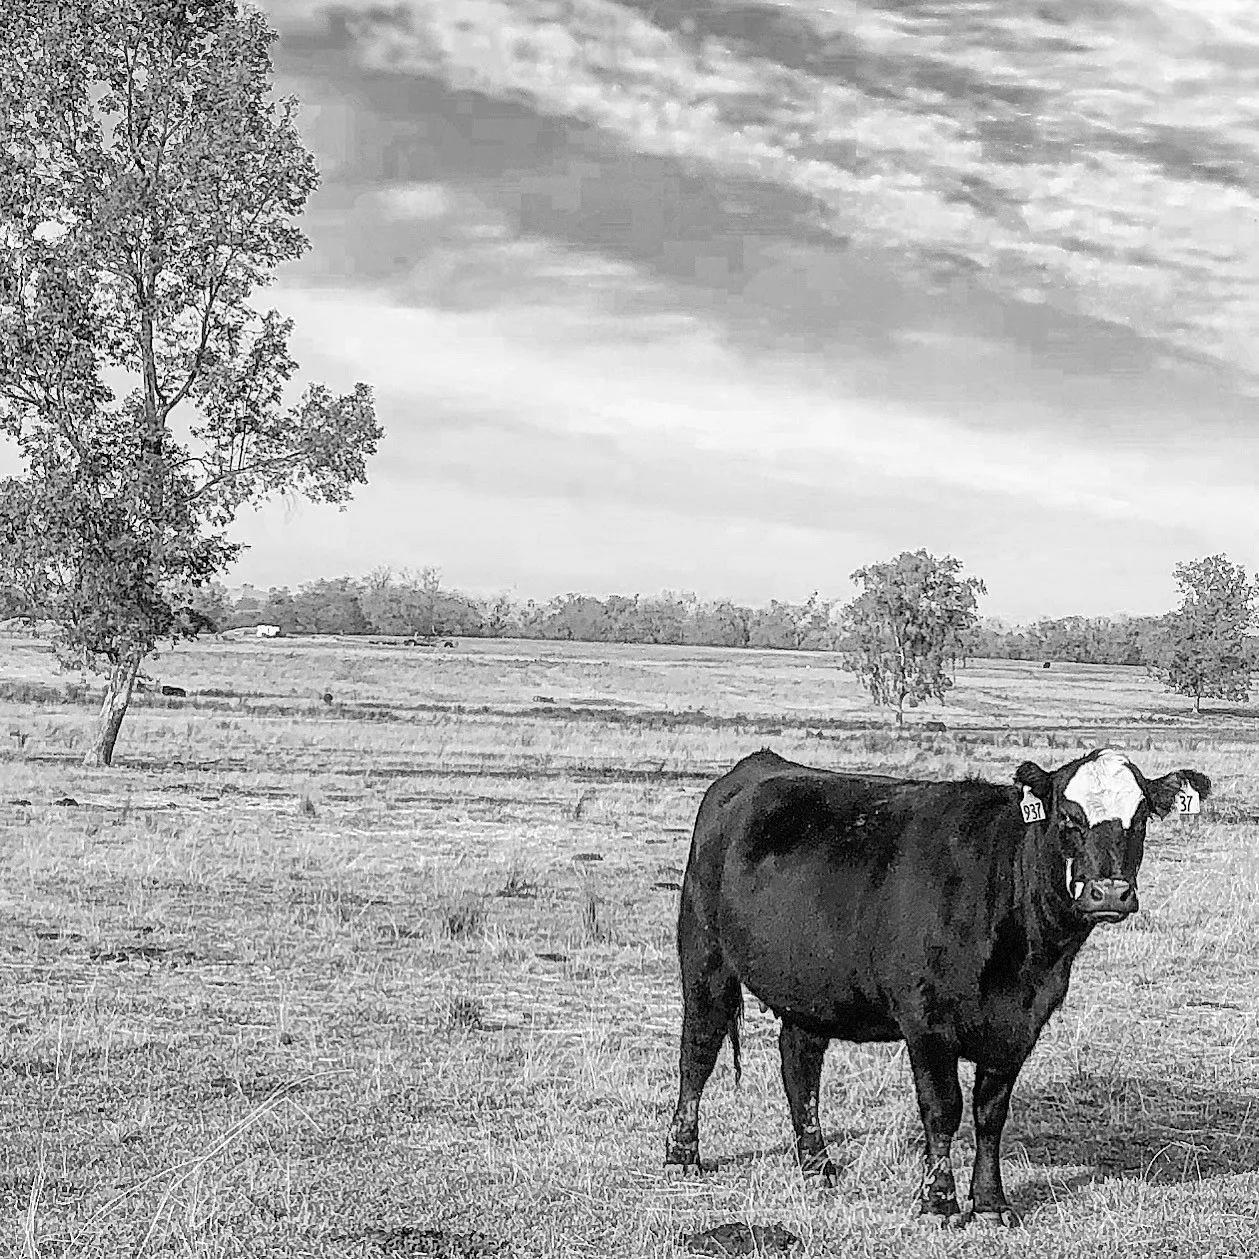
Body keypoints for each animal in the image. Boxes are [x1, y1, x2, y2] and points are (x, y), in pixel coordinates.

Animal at [664, 748, 1210, 1226]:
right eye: (1068, 818)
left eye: (1140, 820)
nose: (1110, 893)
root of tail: (754, 767)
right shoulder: (925, 1022)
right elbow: (944, 1109)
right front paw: (940, 1202)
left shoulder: (1019, 1026)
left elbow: (990, 1115)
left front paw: (990, 1203)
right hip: (704, 958)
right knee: (698, 1053)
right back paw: (682, 1155)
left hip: (811, 988)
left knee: (800, 1064)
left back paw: (817, 1163)